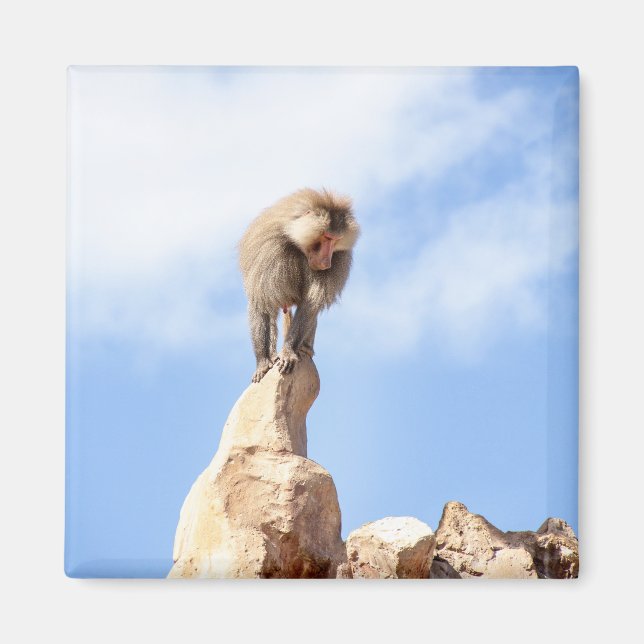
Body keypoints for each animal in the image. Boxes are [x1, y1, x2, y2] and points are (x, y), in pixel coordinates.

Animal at [239, 188, 360, 383]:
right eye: (327, 237)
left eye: (336, 240)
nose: (327, 263)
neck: (296, 242)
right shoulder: (268, 251)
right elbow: (261, 303)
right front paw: (263, 363)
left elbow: (310, 305)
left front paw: (288, 353)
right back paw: (273, 356)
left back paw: (304, 349)